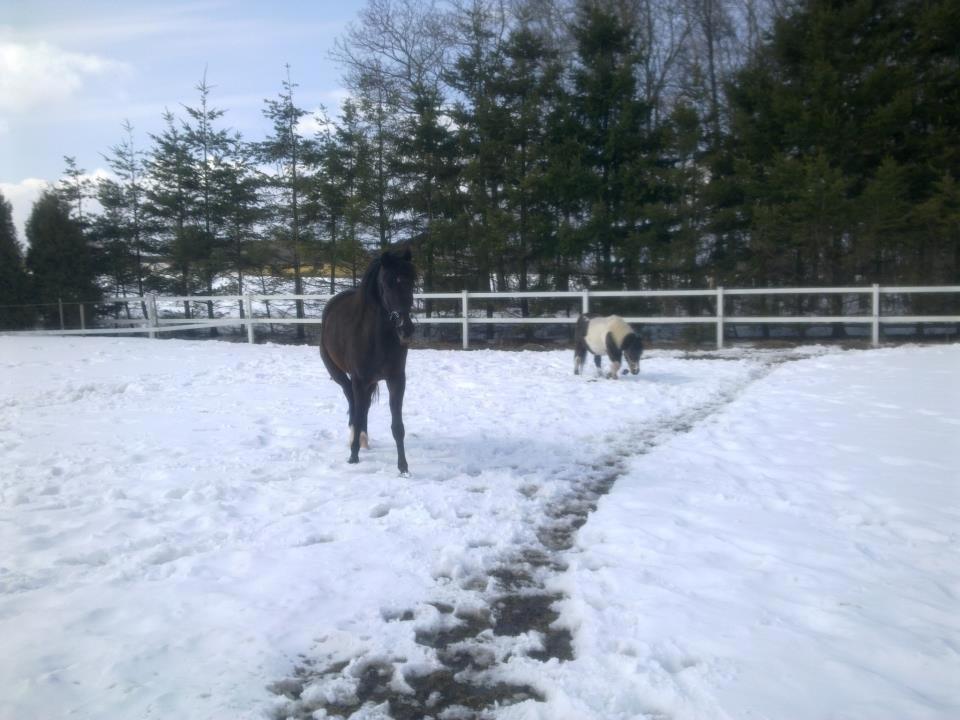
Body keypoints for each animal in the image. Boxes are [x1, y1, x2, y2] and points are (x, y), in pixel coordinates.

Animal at [320, 245, 414, 476]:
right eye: (388, 282)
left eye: (412, 281)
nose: (406, 330)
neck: (376, 336)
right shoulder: (359, 379)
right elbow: (358, 411)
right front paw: (353, 458)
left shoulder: (396, 379)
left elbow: (398, 426)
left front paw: (403, 467)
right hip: (340, 375)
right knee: (353, 403)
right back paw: (356, 440)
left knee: (363, 407)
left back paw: (363, 439)